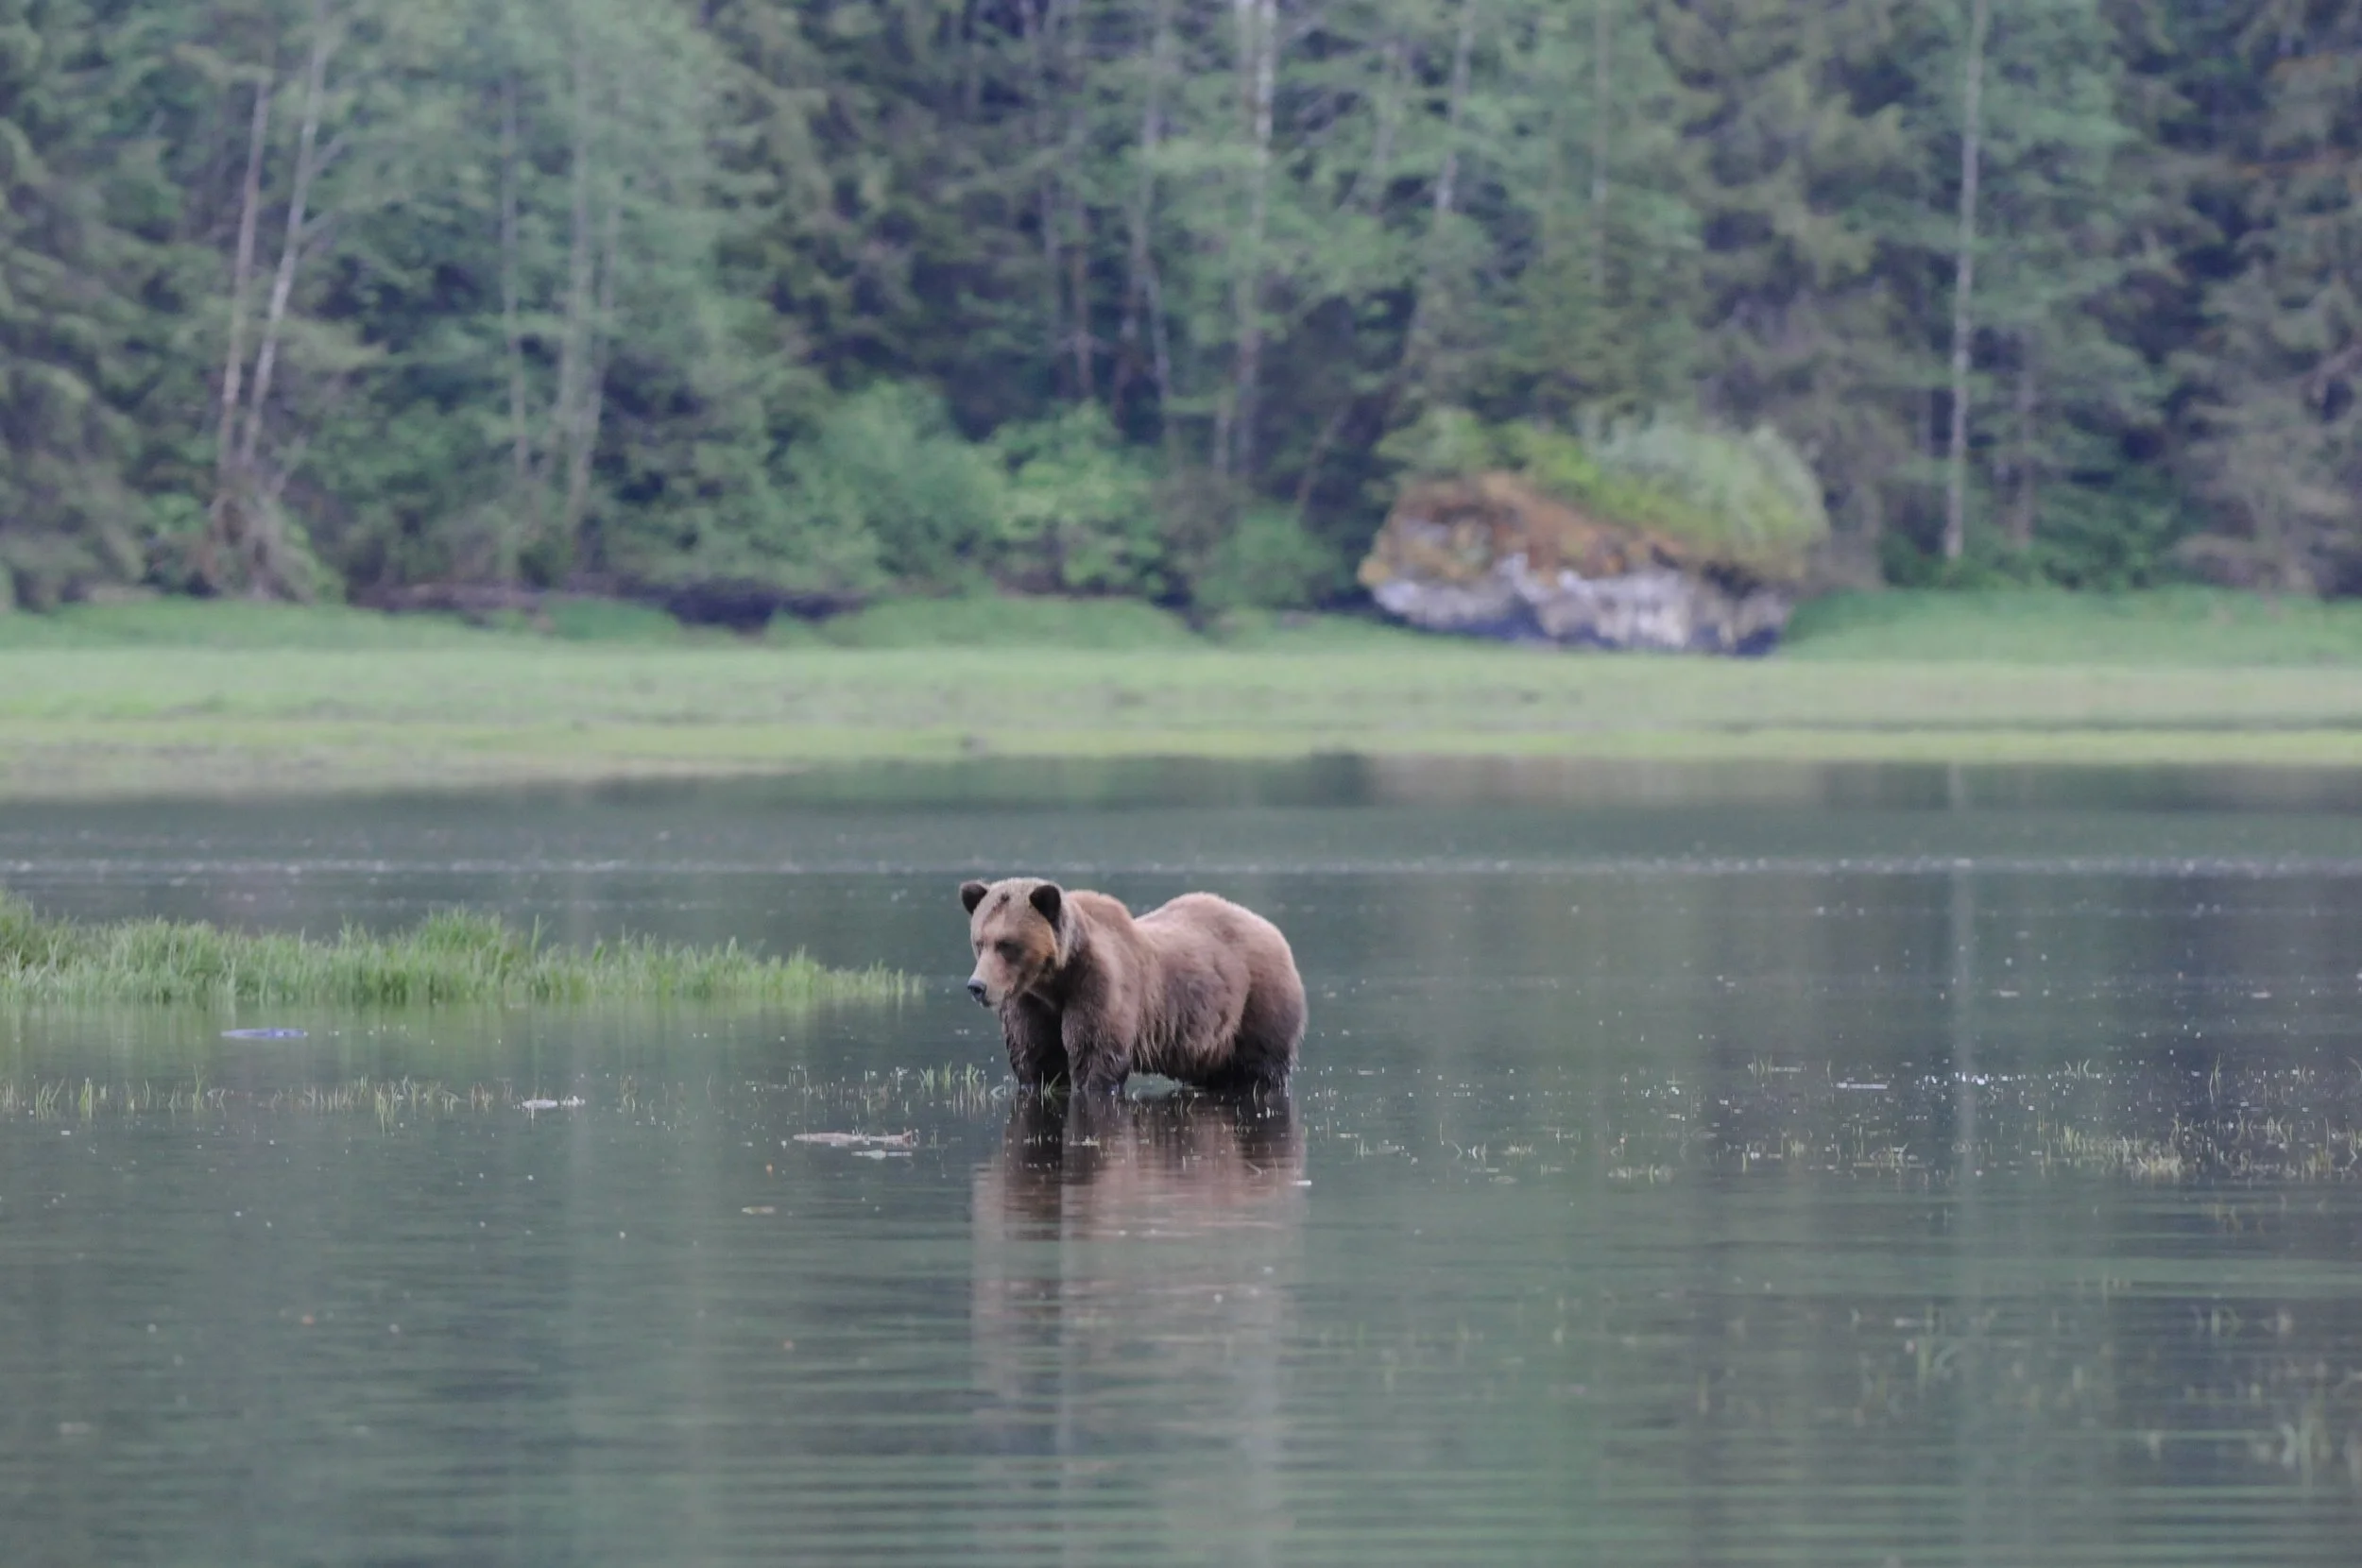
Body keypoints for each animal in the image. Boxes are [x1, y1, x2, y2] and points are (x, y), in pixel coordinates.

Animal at [959, 877, 1305, 1095]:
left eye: (1006, 944)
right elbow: (1036, 1057)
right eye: (979, 941)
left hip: (1257, 1002)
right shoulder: (1029, 1001)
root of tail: (1271, 929)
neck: (1054, 980)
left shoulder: (1098, 986)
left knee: (1263, 1067)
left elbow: (1094, 1054)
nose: (977, 986)